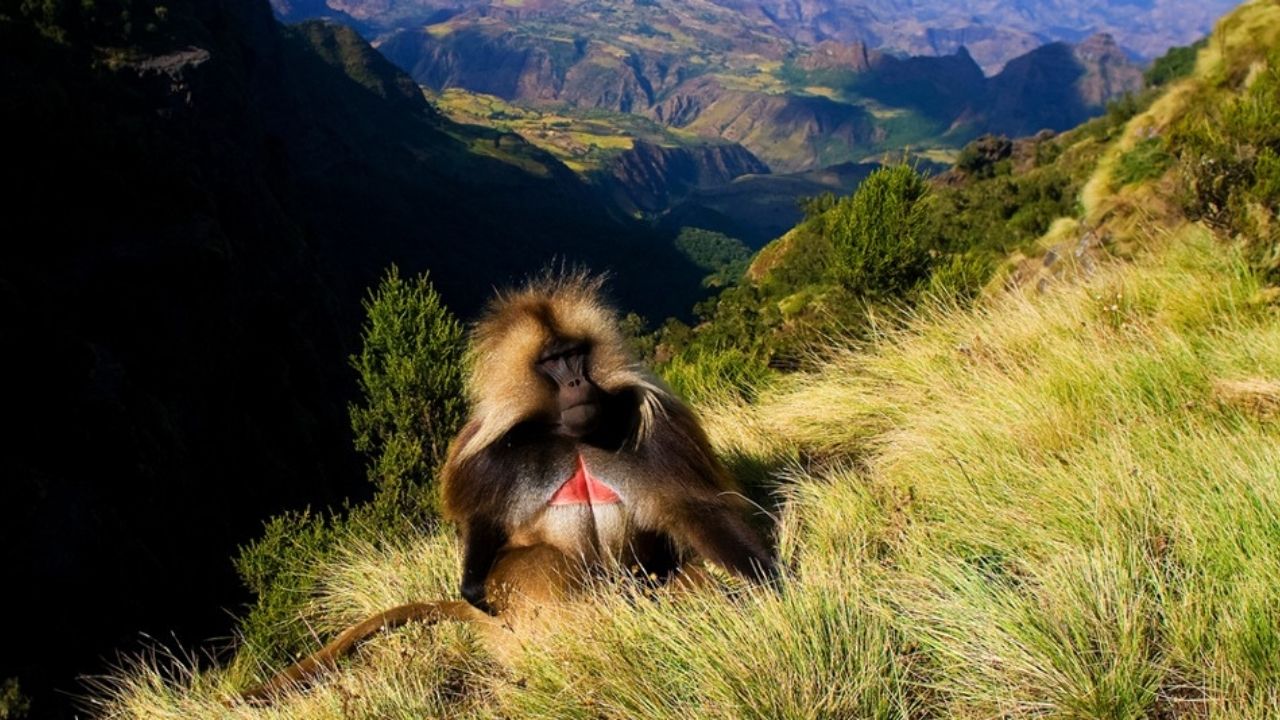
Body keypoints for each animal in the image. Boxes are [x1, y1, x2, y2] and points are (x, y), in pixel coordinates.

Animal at [238, 272, 775, 704]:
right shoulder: (489, 451)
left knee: (693, 578)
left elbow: (694, 509)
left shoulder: (657, 425)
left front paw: (767, 580)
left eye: (577, 354)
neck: (571, 436)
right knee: (547, 565)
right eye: (553, 362)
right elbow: (483, 520)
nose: (578, 382)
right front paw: (472, 584)